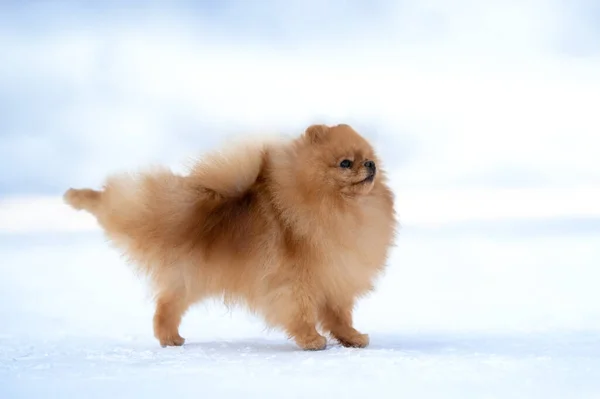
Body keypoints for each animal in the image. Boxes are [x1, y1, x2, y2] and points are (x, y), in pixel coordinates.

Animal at [63, 123, 396, 352]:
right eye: (345, 162)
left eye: (369, 158)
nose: (370, 165)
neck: (339, 207)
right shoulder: (294, 280)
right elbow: (300, 312)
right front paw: (311, 340)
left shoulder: (336, 276)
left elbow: (340, 316)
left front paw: (352, 338)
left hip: (189, 279)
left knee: (167, 305)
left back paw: (170, 338)